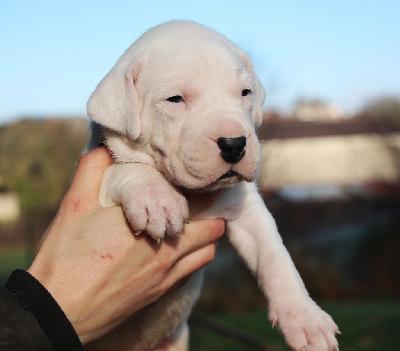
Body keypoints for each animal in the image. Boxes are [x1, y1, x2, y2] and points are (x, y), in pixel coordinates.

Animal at [86, 21, 340, 351]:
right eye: (175, 99)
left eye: (245, 92)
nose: (234, 144)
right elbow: (122, 169)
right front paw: (155, 197)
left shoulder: (247, 210)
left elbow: (275, 258)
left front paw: (305, 318)